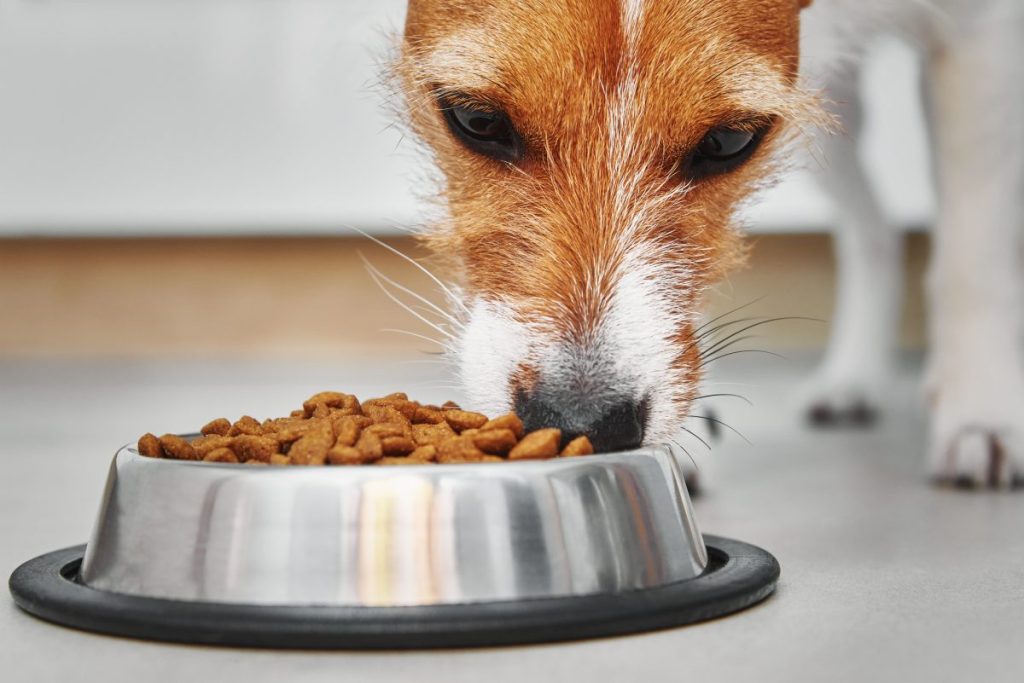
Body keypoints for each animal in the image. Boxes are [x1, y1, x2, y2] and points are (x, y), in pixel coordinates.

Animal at [393, 2, 1024, 489]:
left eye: (728, 142)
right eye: (475, 120)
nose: (580, 422)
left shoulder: (983, 37)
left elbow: (973, 262)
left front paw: (981, 414)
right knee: (874, 231)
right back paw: (853, 377)